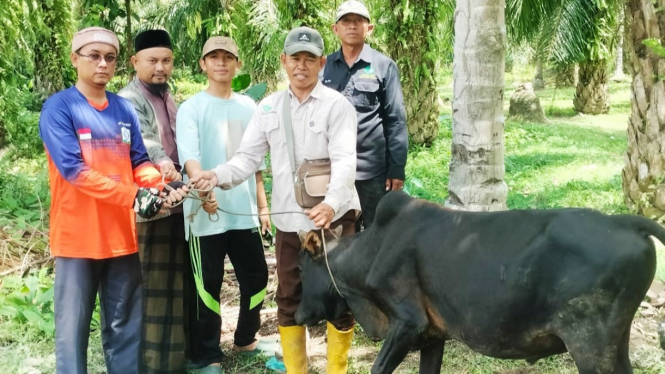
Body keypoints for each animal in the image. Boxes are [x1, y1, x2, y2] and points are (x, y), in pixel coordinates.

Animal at [296, 191, 664, 372]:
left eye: (301, 270)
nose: (298, 315)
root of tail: (626, 223)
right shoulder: (433, 335)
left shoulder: (408, 322)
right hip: (616, 343)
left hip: (589, 344)